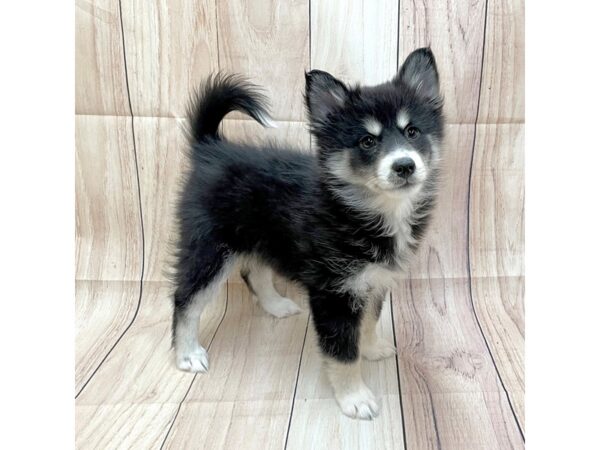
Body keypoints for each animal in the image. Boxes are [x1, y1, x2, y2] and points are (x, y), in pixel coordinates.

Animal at [171, 47, 442, 420]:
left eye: (412, 131)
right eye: (367, 141)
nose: (404, 165)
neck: (365, 208)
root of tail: (211, 147)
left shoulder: (372, 281)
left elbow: (369, 321)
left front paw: (371, 347)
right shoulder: (334, 293)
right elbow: (342, 352)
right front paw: (355, 397)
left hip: (260, 236)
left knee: (254, 272)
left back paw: (275, 306)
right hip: (210, 248)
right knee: (186, 298)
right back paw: (187, 353)